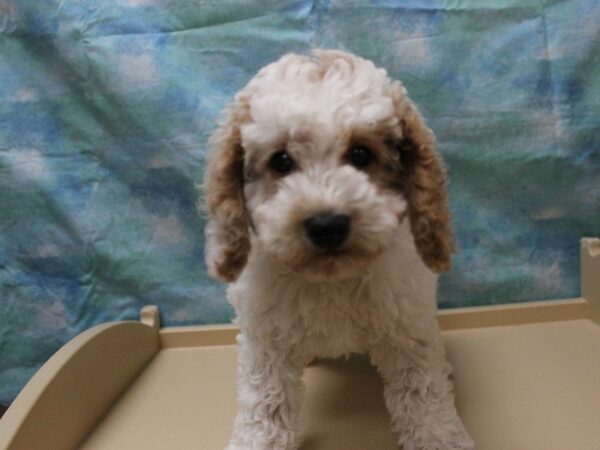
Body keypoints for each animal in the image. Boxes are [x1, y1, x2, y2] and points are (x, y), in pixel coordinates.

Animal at [204, 49, 476, 450]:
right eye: (281, 161)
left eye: (361, 154)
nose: (327, 225)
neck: (332, 280)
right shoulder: (265, 339)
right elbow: (266, 406)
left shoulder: (409, 331)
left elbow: (424, 400)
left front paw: (442, 440)